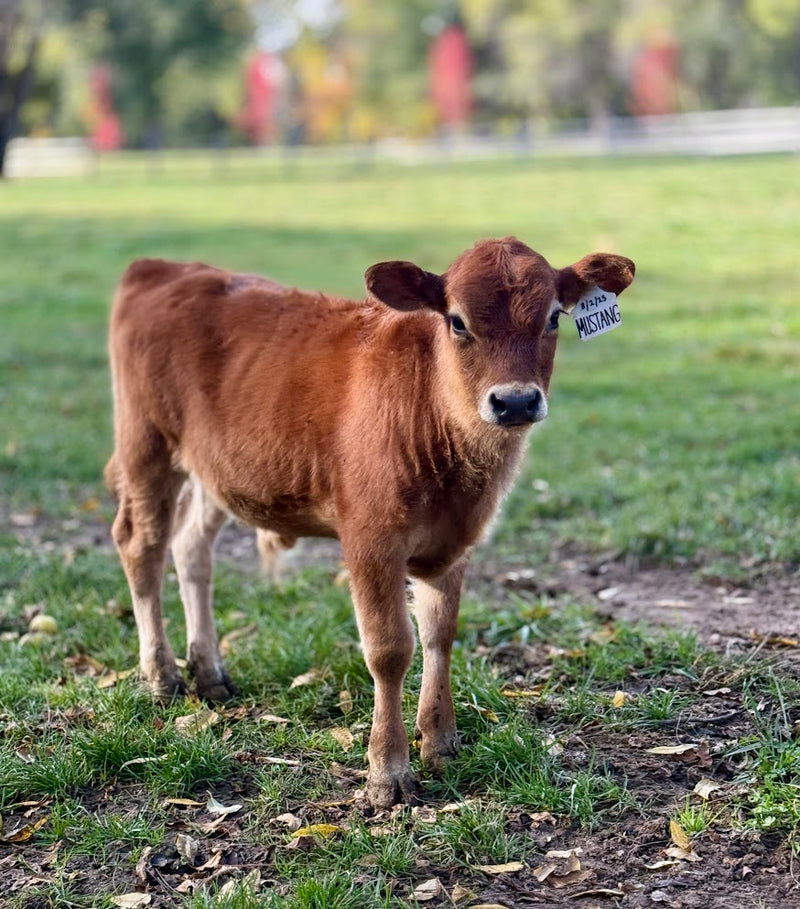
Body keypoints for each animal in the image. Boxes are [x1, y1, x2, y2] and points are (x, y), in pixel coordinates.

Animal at [105, 237, 635, 807]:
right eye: (457, 321)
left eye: (554, 317)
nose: (515, 401)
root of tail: (165, 266)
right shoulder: (370, 540)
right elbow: (389, 649)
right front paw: (388, 770)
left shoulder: (454, 544)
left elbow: (440, 635)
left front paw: (441, 742)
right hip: (146, 445)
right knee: (141, 545)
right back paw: (161, 675)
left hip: (214, 471)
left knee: (190, 549)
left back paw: (209, 673)